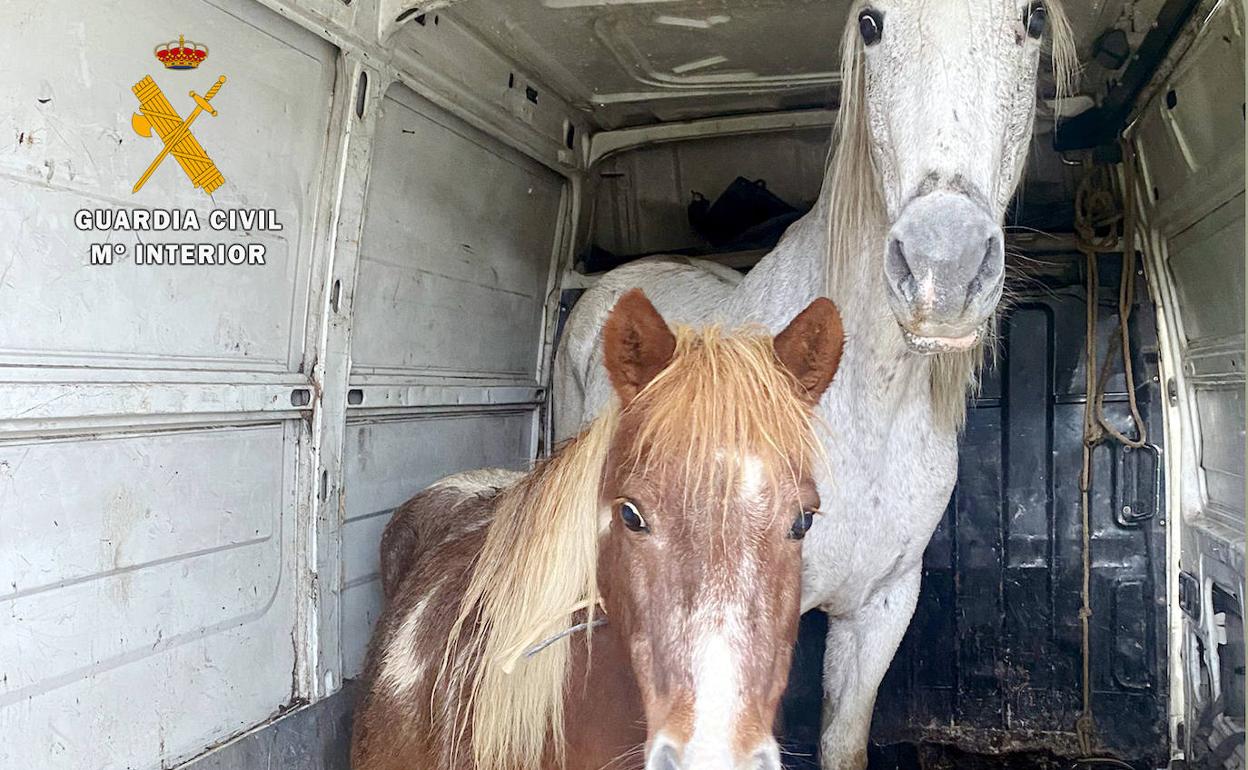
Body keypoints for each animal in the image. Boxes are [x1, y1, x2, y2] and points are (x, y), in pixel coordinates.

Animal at [551, 3, 1078, 763]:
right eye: (871, 23)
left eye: (1033, 19)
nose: (942, 268)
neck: (862, 407)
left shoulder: (881, 606)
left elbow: (843, 739)